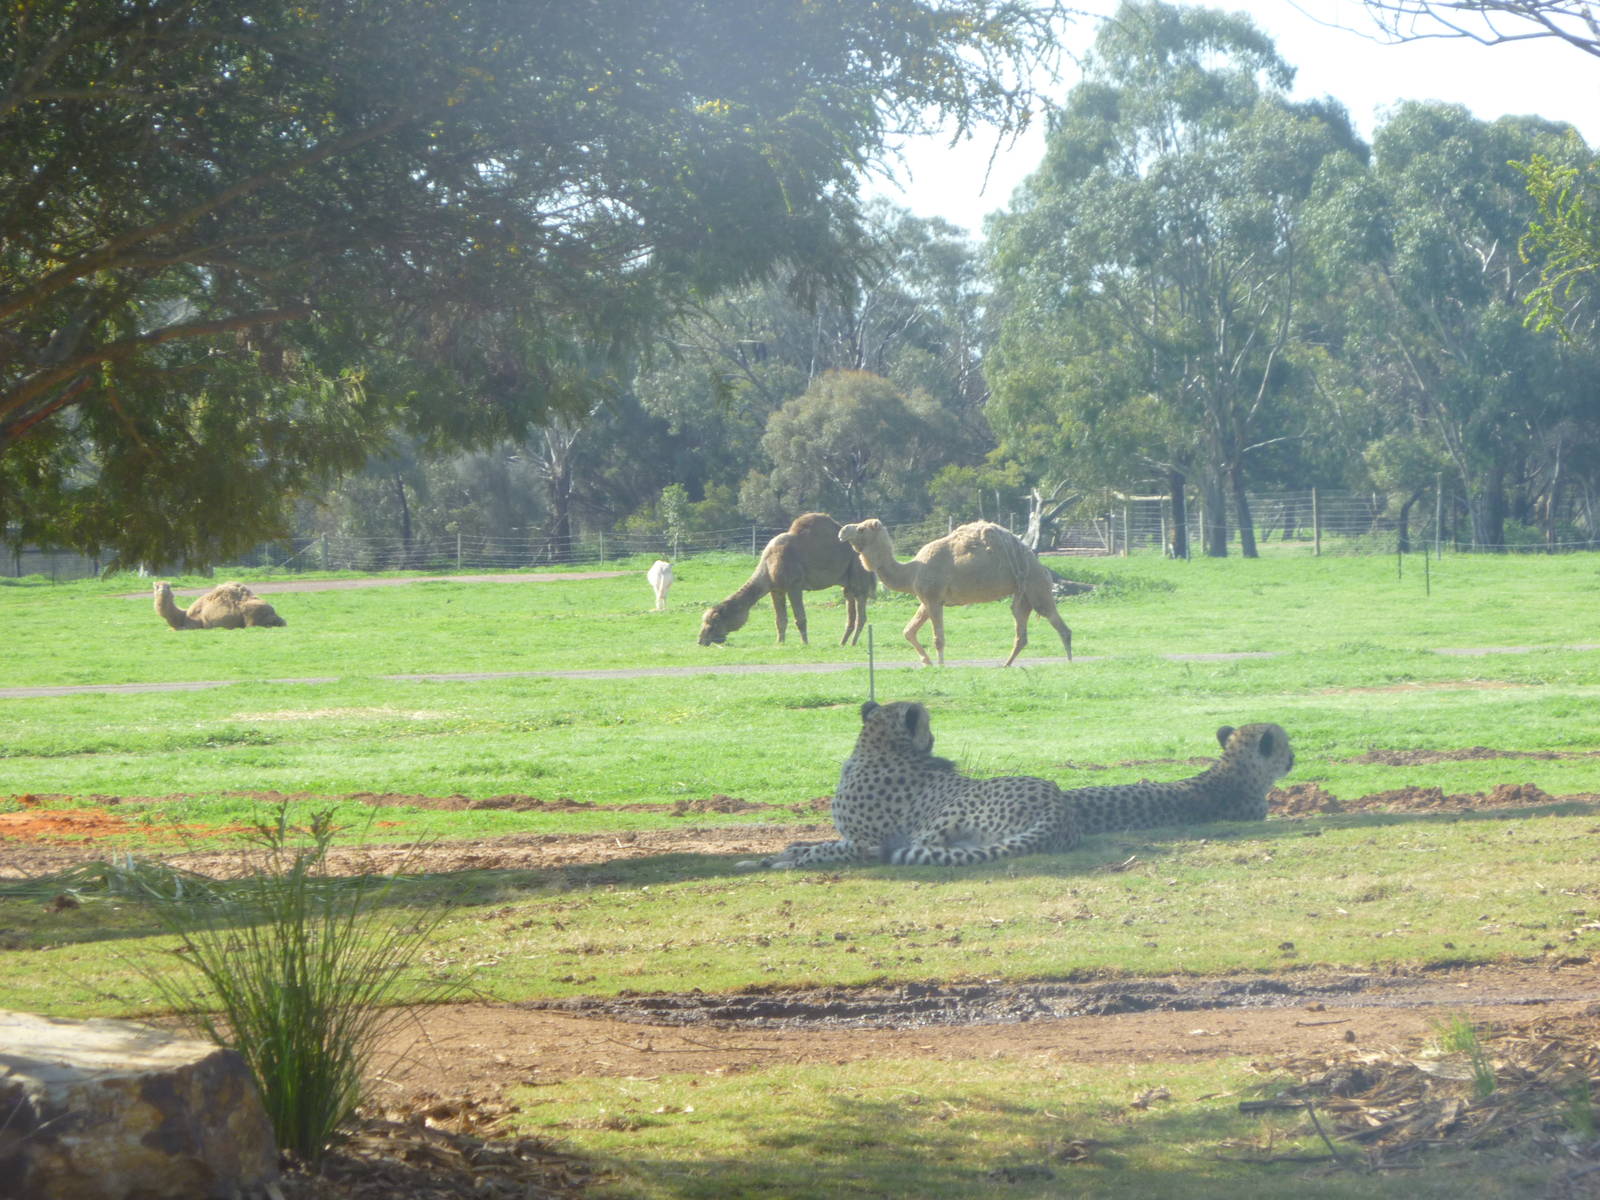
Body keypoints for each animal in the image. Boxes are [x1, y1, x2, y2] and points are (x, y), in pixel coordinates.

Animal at [736, 700, 1080, 870]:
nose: (934, 737)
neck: (876, 749)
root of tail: (1057, 805)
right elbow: (813, 844)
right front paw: (771, 858)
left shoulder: (865, 842)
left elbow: (824, 850)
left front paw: (788, 862)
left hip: (948, 812)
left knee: (914, 849)